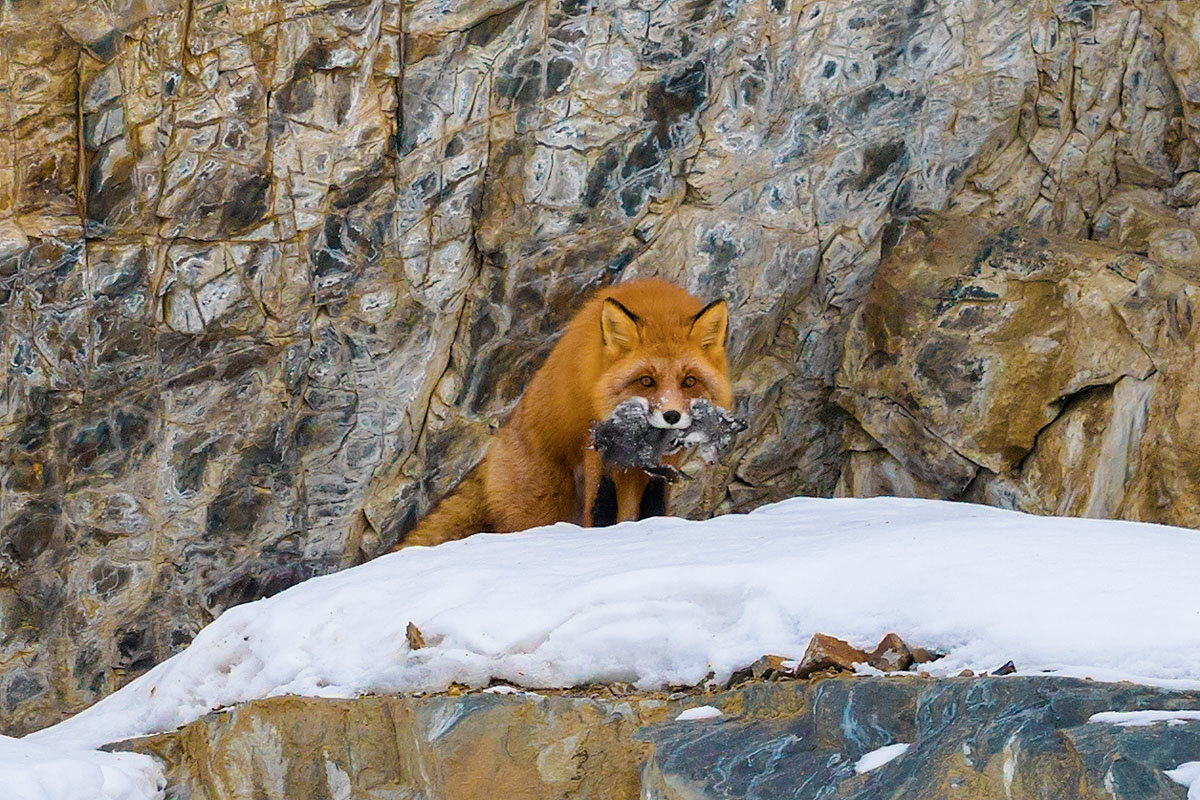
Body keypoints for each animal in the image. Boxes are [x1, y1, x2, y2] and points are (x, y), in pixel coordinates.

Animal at [398, 278, 729, 546]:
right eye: (647, 381)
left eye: (689, 381)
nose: (672, 416)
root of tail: (493, 450)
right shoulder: (598, 452)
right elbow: (600, 507)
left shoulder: (664, 467)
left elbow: (654, 508)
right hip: (546, 502)